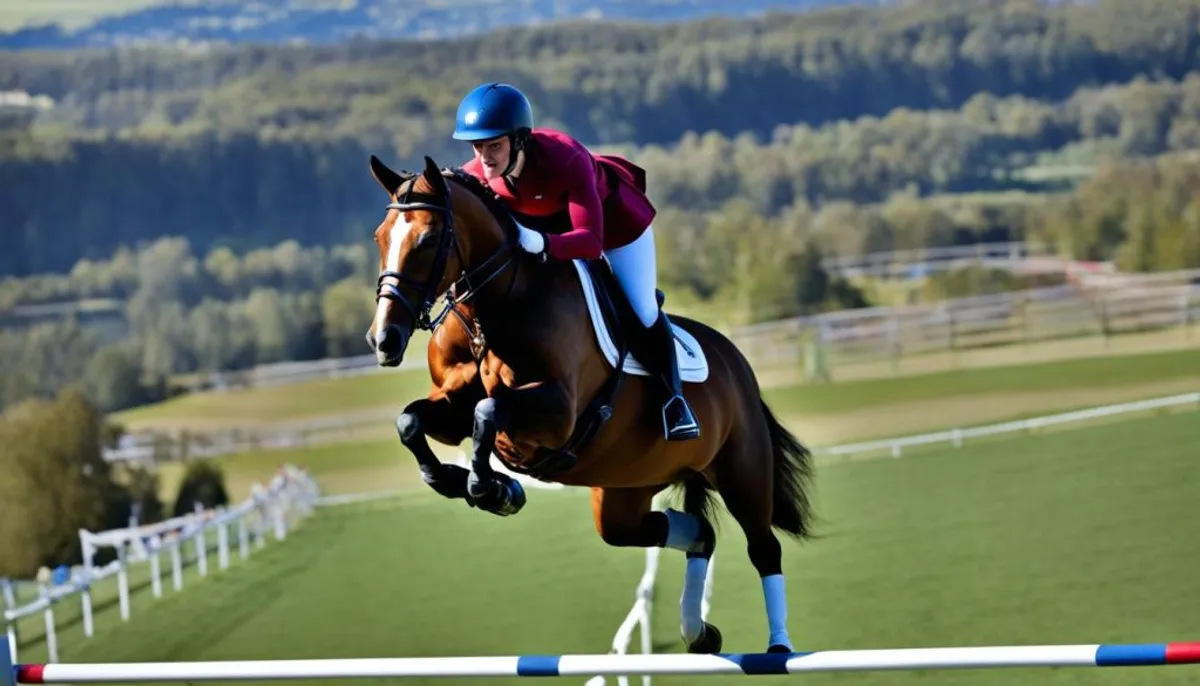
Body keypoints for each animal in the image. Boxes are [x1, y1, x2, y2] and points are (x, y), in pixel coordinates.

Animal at [364, 153, 816, 652]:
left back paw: (778, 645)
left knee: (764, 547)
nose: (383, 341)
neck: (494, 310)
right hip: (626, 491)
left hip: (742, 470)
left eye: (426, 240)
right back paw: (698, 633)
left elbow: (488, 412)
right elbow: (412, 421)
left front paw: (492, 489)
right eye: (380, 238)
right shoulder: (452, 406)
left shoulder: (558, 412)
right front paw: (453, 480)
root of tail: (738, 364)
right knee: (697, 532)